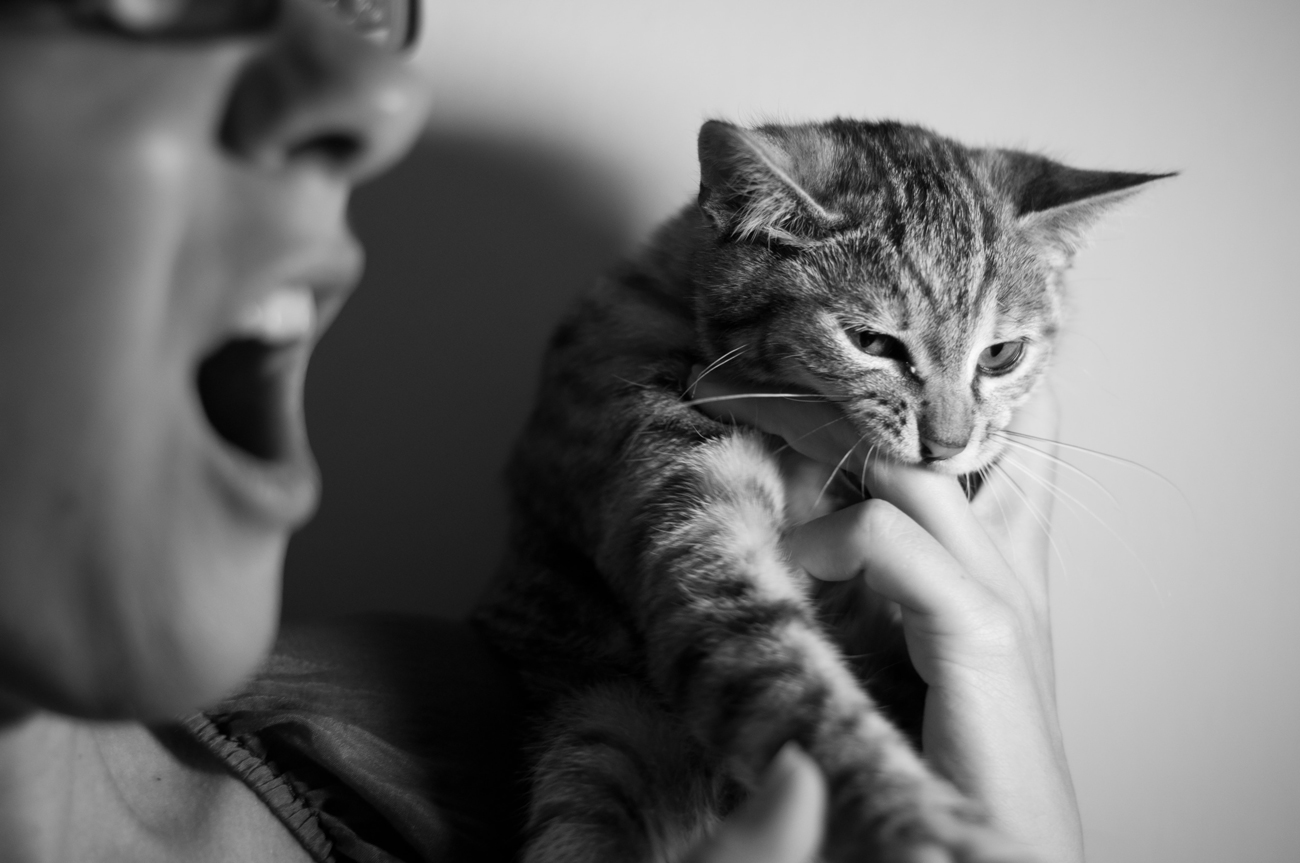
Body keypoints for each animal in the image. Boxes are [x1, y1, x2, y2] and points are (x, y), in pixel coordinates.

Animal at [473, 116, 1164, 863]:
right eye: (872, 342)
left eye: (1002, 355)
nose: (948, 445)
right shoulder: (683, 494)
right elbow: (783, 676)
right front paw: (907, 812)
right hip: (603, 731)